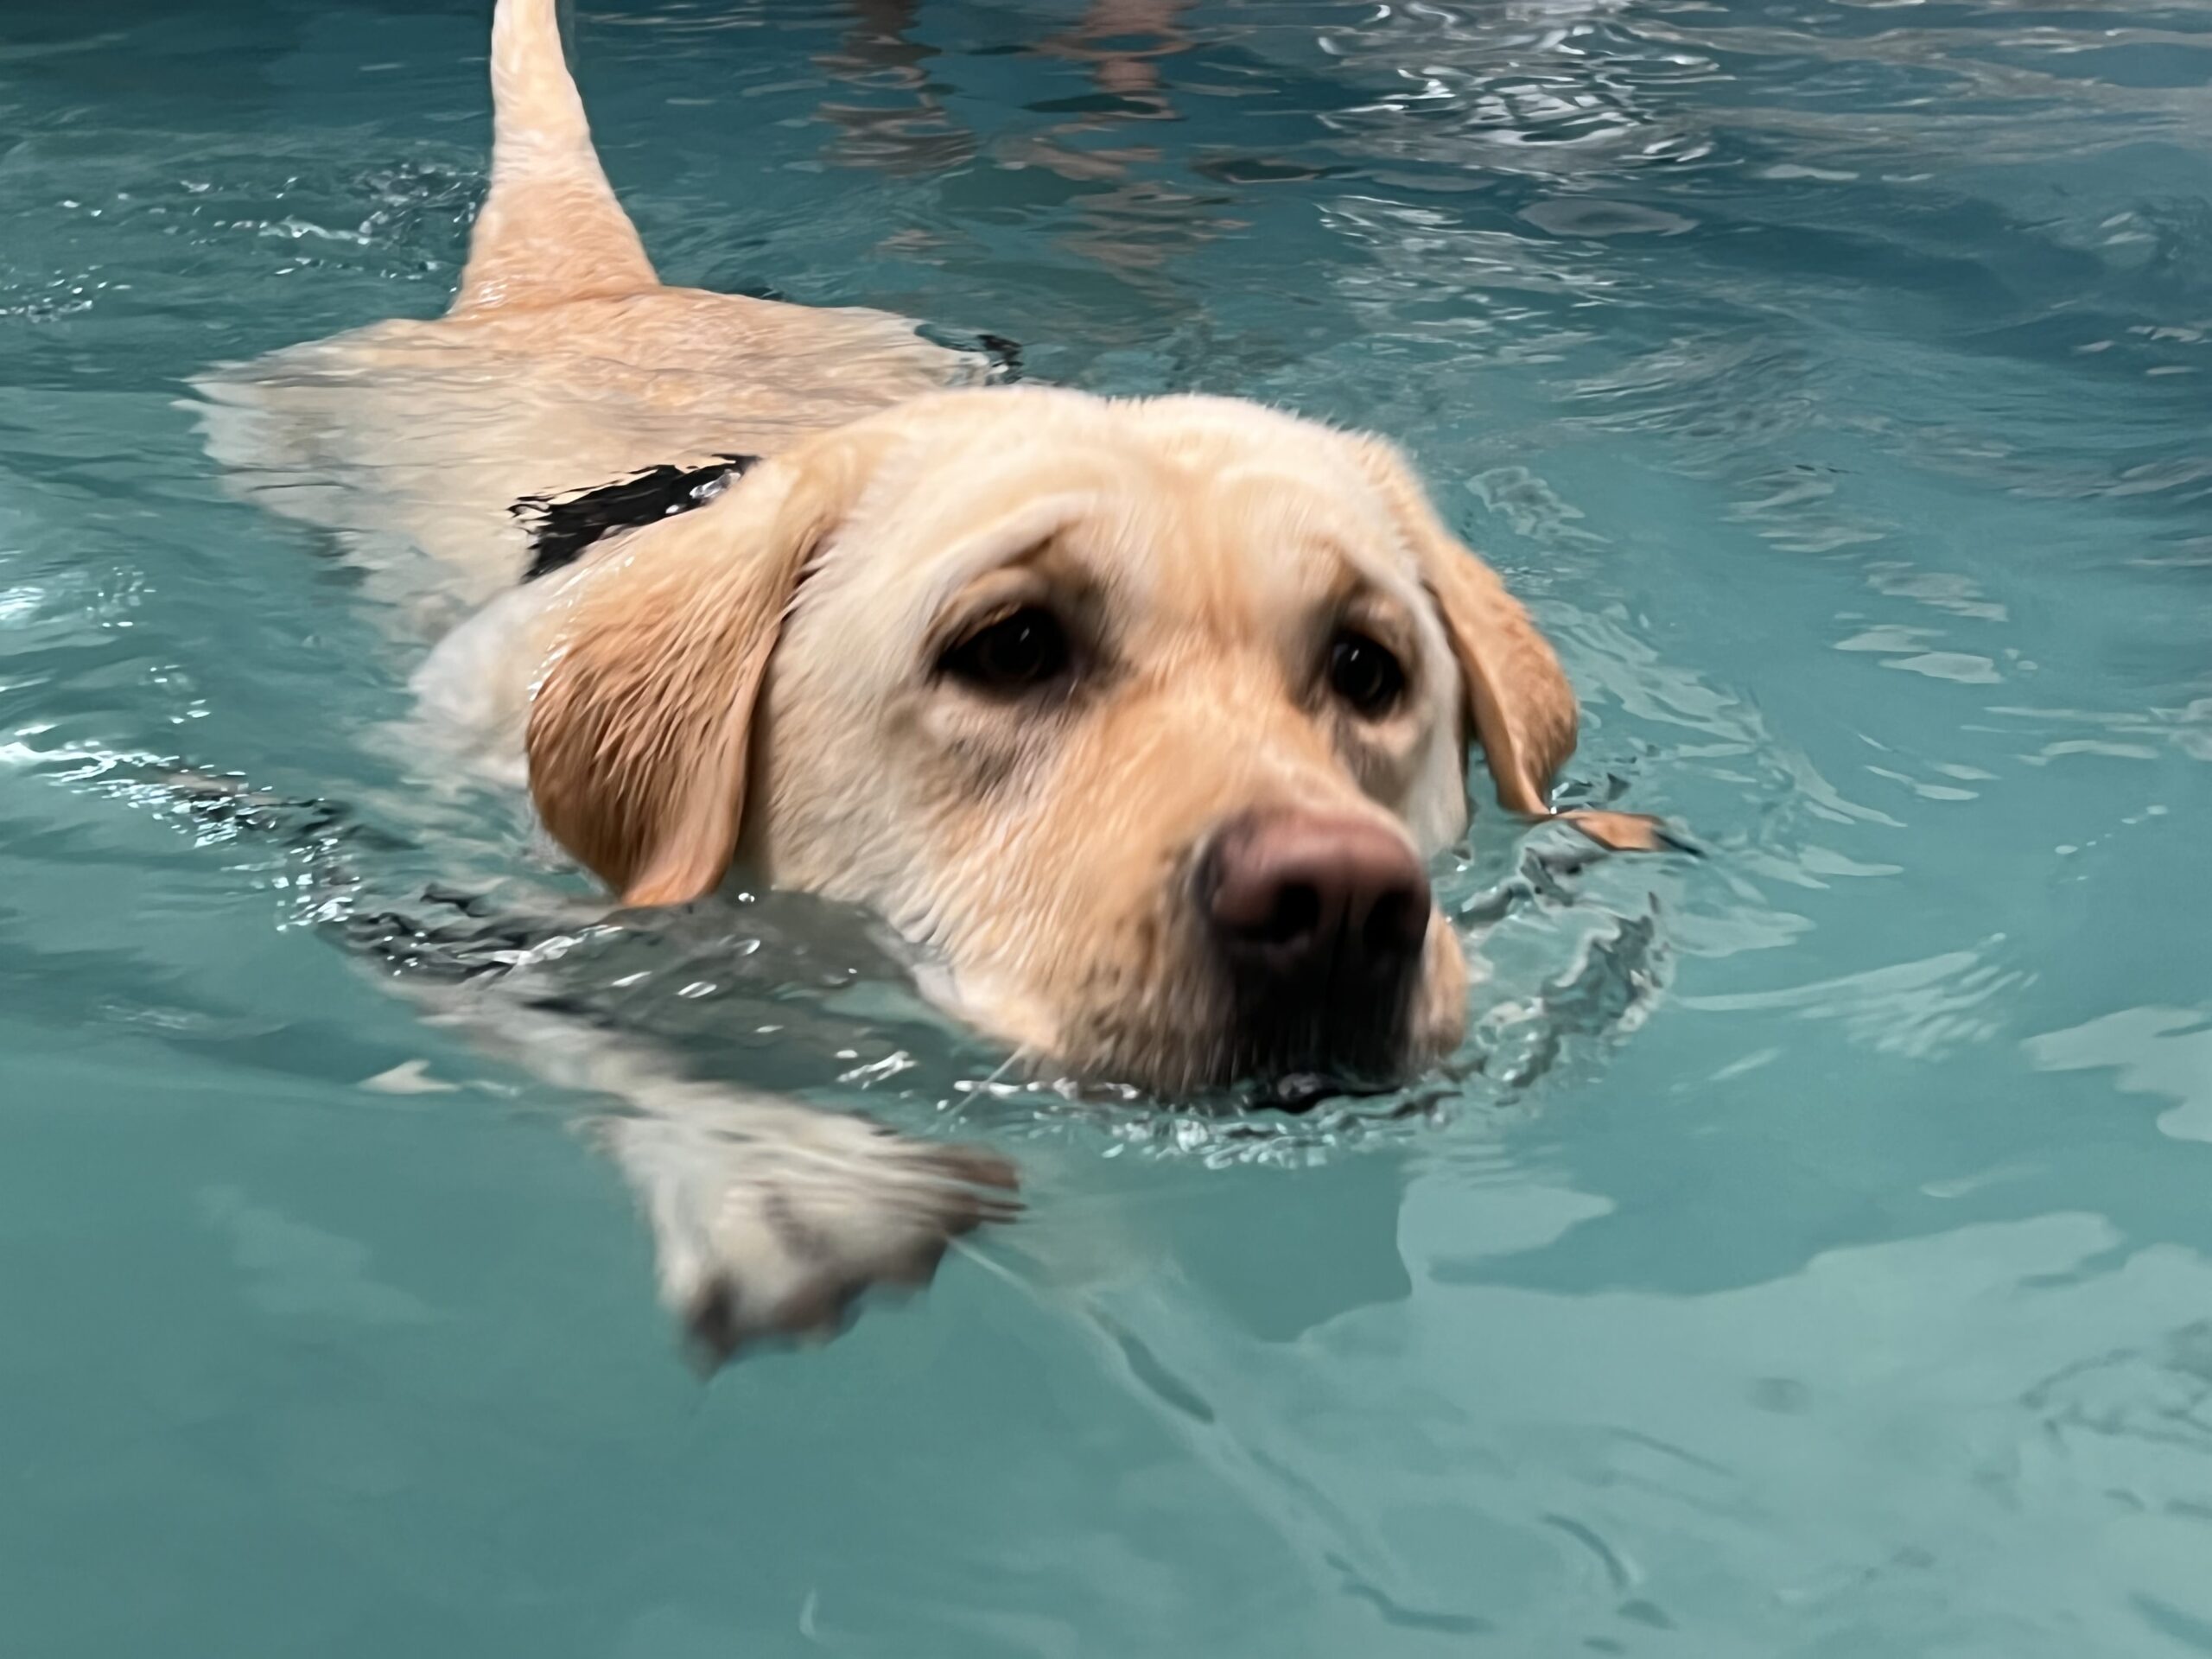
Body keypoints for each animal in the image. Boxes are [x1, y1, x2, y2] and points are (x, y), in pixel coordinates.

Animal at [203, 0, 1663, 1362]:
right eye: (1009, 648)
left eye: (1368, 666)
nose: (1344, 902)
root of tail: (588, 291)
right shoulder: (440, 912)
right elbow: (594, 1028)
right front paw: (780, 1177)